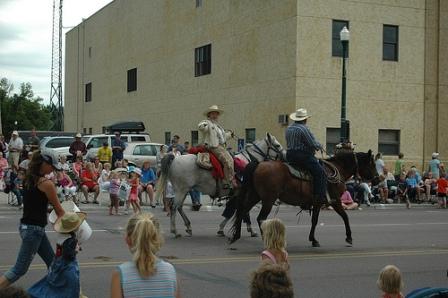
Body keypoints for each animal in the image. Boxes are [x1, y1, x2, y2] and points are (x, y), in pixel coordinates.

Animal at [231, 151, 378, 247]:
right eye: (372, 164)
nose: (377, 178)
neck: (337, 169)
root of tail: (259, 164)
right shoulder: (335, 201)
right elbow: (345, 217)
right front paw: (349, 237)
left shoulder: (318, 203)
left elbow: (314, 221)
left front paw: (313, 239)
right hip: (268, 199)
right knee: (260, 218)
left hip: (254, 196)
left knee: (242, 212)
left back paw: (236, 236)